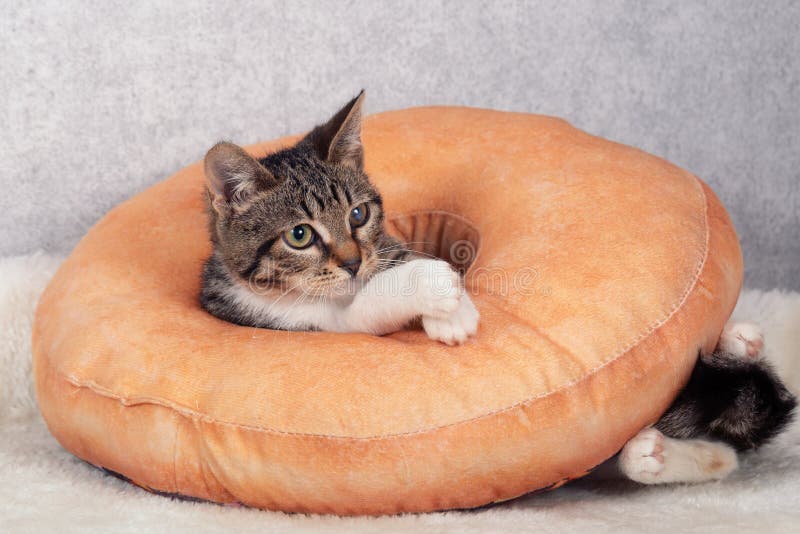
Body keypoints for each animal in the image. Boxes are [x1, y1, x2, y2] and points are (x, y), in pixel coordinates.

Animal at [202, 94, 792, 488]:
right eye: (300, 235)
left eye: (358, 214)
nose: (351, 261)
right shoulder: (295, 316)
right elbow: (361, 306)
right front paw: (440, 293)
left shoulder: (384, 247)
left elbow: (394, 263)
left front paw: (450, 304)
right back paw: (655, 453)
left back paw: (738, 344)